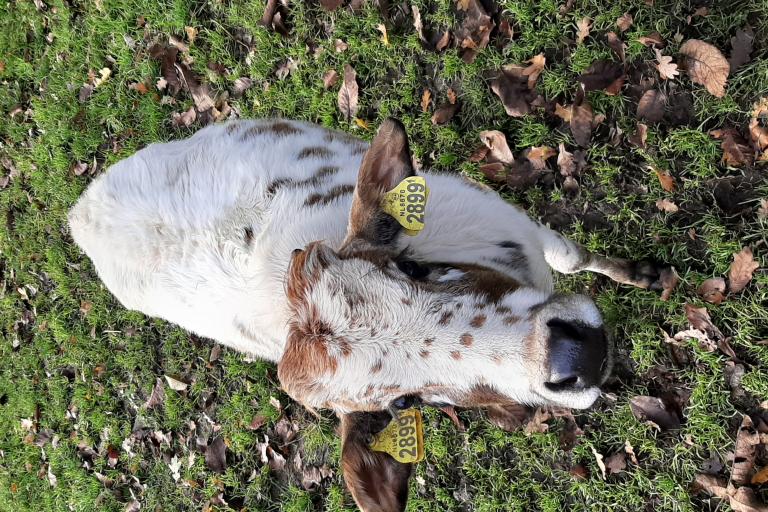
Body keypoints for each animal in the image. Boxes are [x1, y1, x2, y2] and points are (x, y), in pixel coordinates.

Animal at [69, 118, 668, 510]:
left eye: (413, 266)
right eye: (409, 403)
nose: (574, 357)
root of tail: (80, 211)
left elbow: (575, 255)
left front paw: (647, 273)